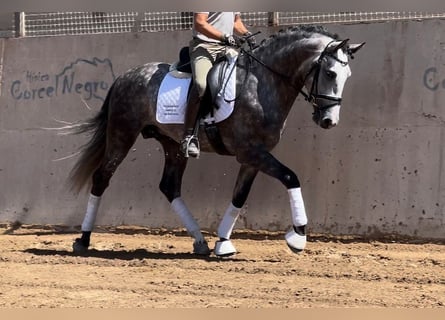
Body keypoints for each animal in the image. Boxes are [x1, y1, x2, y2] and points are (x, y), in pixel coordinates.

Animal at [68, 26, 360, 258]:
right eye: (331, 73)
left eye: (347, 77)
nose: (328, 121)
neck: (262, 83)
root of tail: (125, 76)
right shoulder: (251, 152)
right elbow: (290, 177)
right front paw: (297, 236)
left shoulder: (253, 158)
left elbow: (239, 196)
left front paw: (223, 242)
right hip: (122, 134)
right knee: (101, 178)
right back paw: (83, 240)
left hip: (173, 145)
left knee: (169, 187)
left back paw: (200, 242)